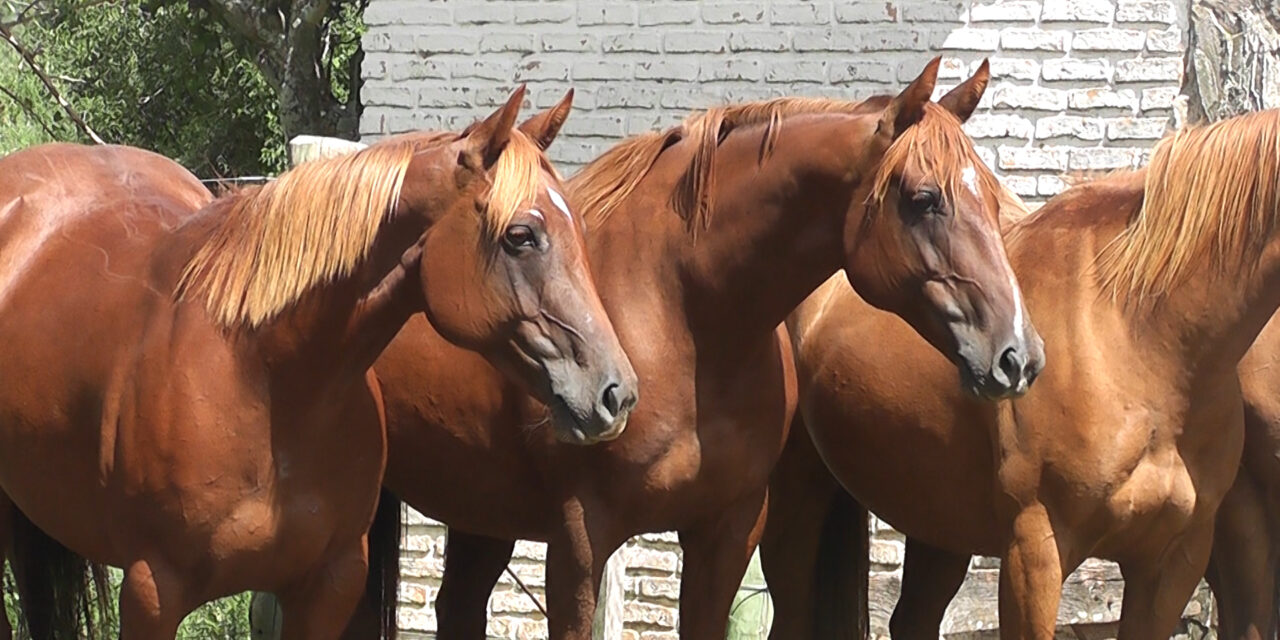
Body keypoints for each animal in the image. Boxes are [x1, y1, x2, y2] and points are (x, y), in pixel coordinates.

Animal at [0, 87, 636, 640]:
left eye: (579, 229)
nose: (617, 393)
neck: (265, 377)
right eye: (521, 235)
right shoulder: (153, 591)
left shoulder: (328, 586)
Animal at [347, 57, 1042, 640]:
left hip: (480, 511)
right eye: (925, 199)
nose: (1019, 354)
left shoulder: (726, 531)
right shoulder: (580, 539)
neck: (682, 317)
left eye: (991, 194)